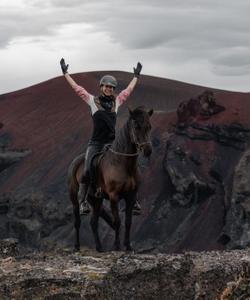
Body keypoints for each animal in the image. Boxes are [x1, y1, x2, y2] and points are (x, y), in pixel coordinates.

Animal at [68, 105, 154, 251]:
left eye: (149, 126)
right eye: (136, 126)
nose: (148, 150)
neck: (123, 164)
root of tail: (76, 161)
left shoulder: (130, 196)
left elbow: (128, 221)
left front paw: (128, 246)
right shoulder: (114, 196)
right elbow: (117, 221)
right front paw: (117, 245)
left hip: (96, 200)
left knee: (93, 222)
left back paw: (99, 247)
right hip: (75, 199)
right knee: (77, 222)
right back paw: (77, 246)